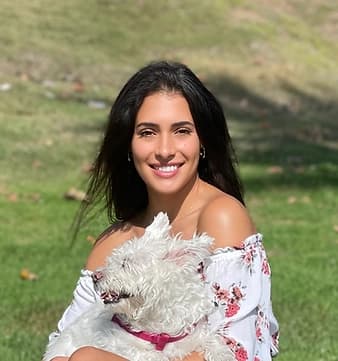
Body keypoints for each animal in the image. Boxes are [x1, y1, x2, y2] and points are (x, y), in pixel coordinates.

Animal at [43, 212, 234, 358]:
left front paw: (222, 355)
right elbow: (149, 355)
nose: (95, 276)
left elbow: (214, 341)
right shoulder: (115, 345)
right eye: (113, 260)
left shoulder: (194, 334)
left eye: (126, 264)